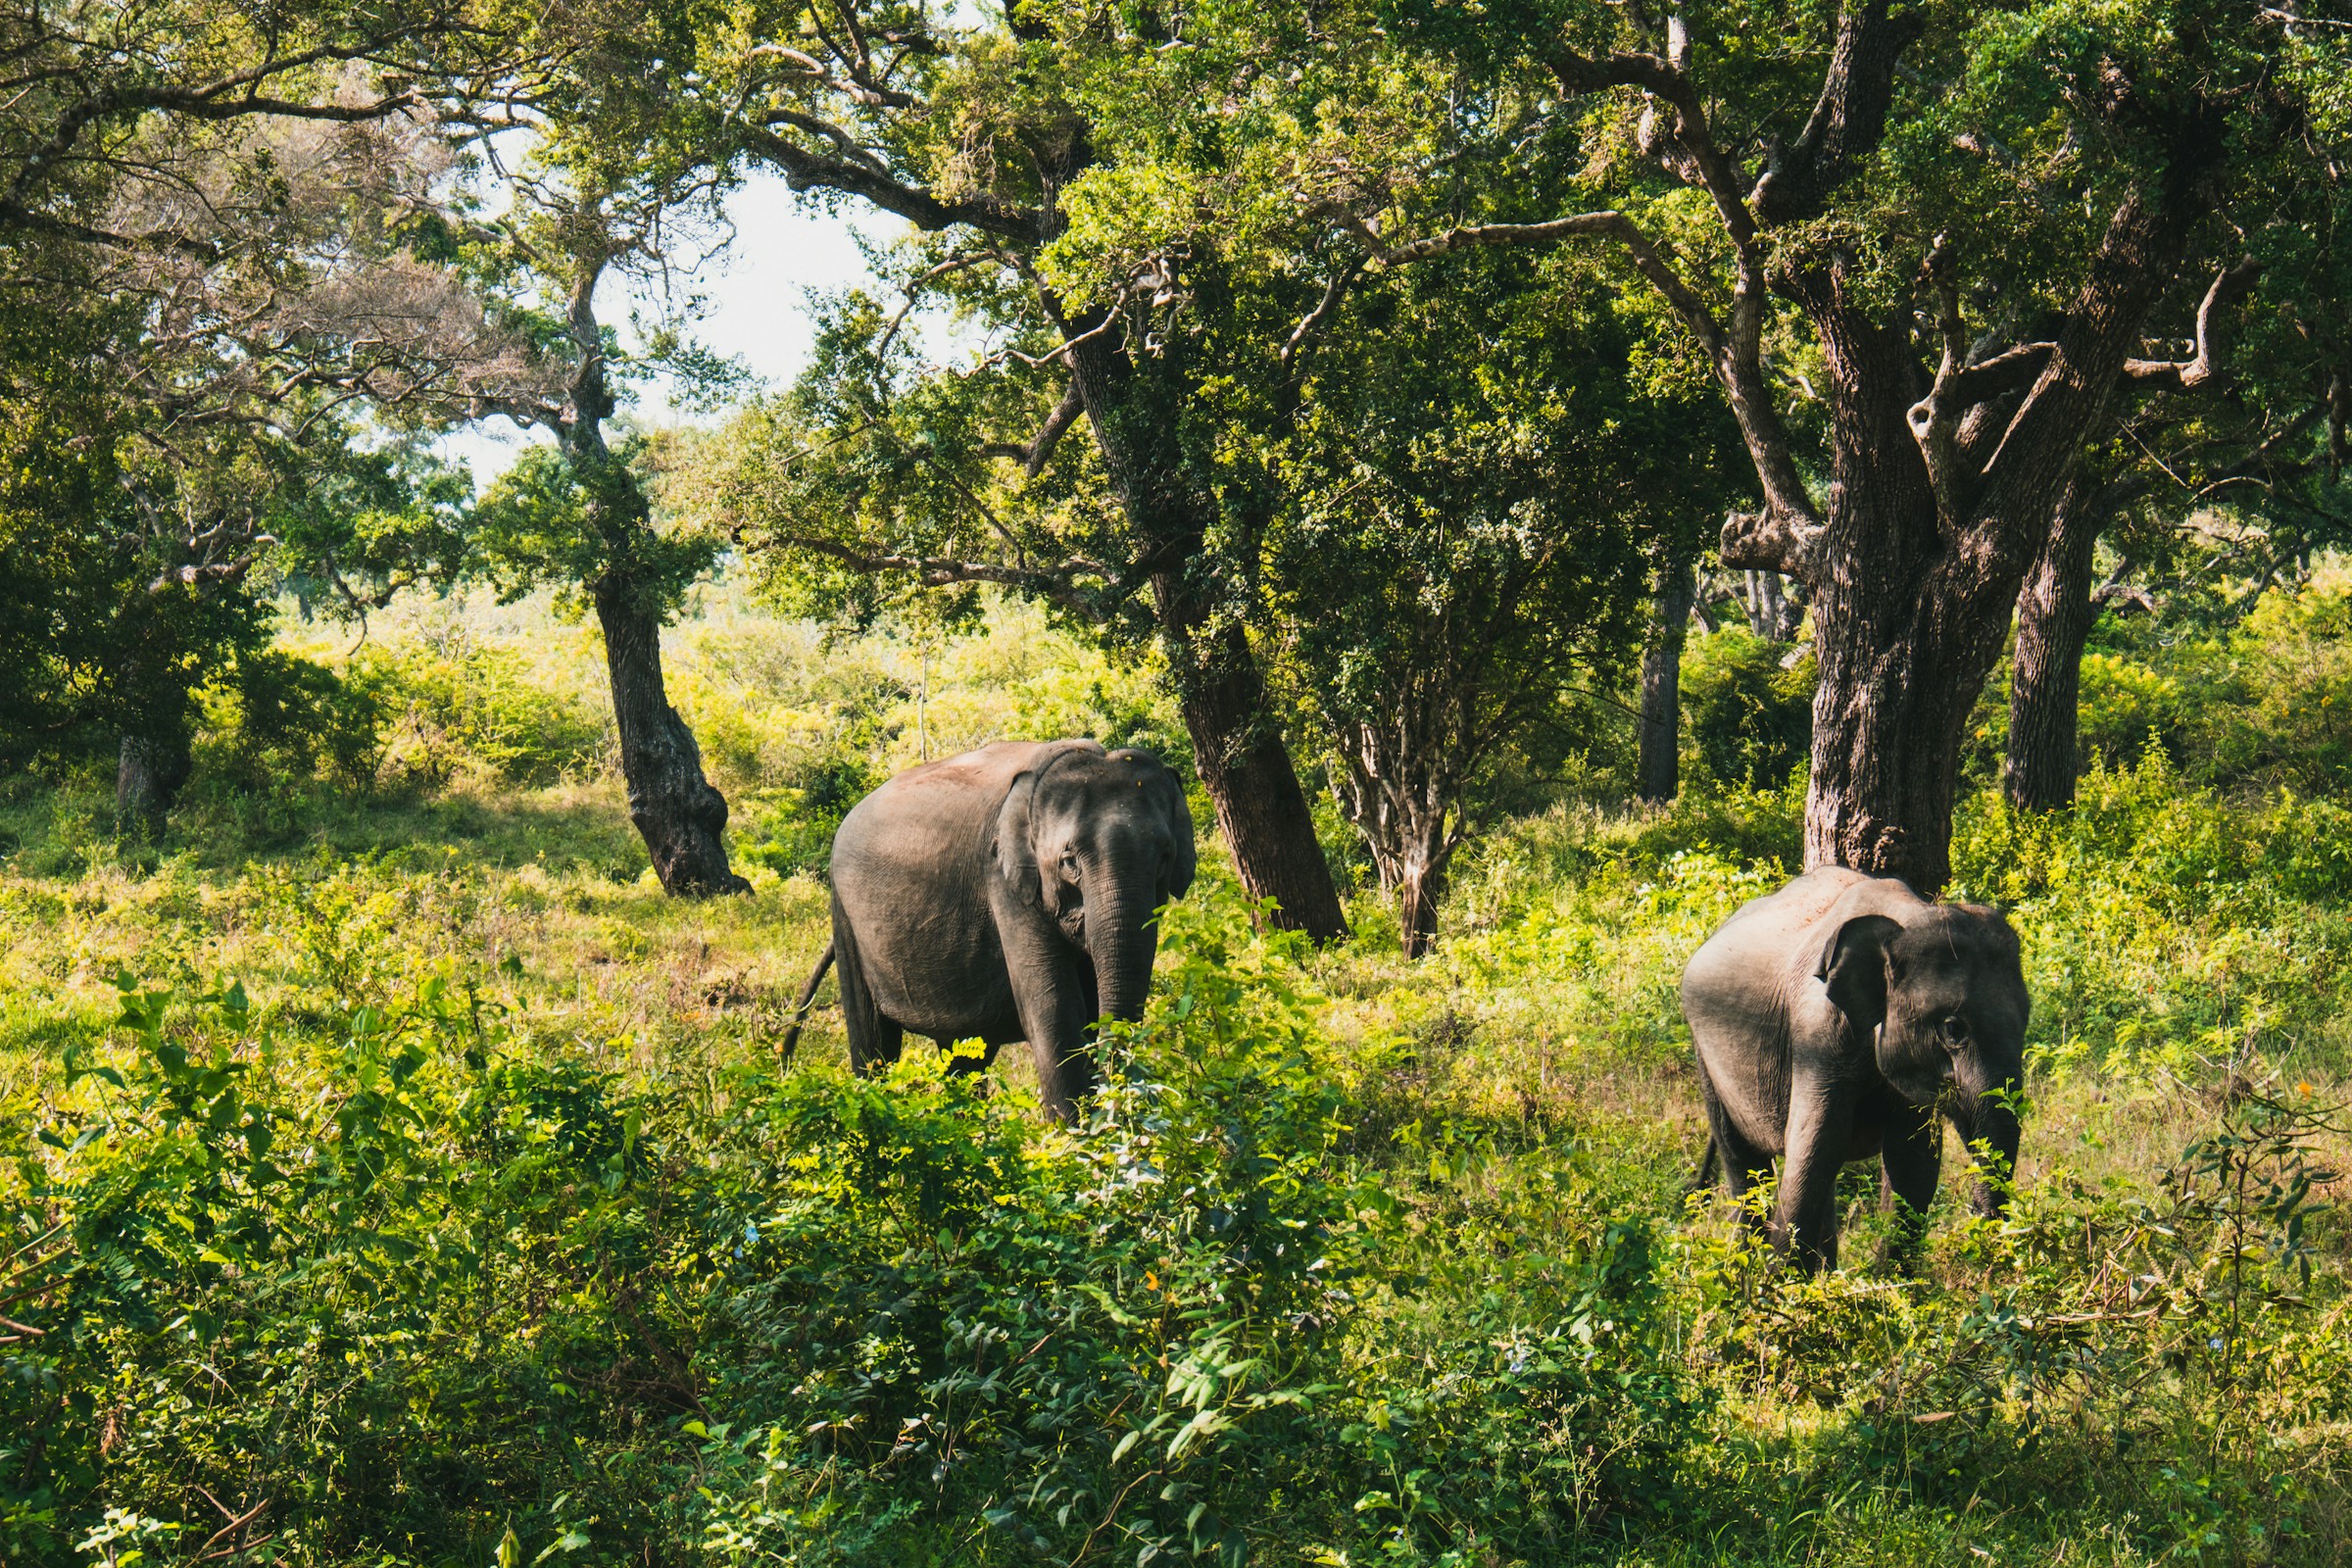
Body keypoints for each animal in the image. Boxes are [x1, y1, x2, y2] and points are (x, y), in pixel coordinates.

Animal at [779, 739, 1197, 1121]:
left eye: (1165, 857)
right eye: (1069, 861)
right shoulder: (1004, 881)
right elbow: (1055, 1009)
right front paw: (1078, 1144)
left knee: (964, 1058)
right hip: (844, 914)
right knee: (873, 1042)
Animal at [1679, 866, 2030, 1273]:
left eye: (2026, 1022)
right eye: (1953, 1029)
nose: (1977, 1217)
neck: (1908, 917)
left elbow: (1913, 1162)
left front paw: (1890, 1283)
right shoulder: (1817, 1032)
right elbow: (1816, 1146)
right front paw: (1783, 1286)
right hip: (1705, 1055)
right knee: (1744, 1162)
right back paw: (1746, 1269)